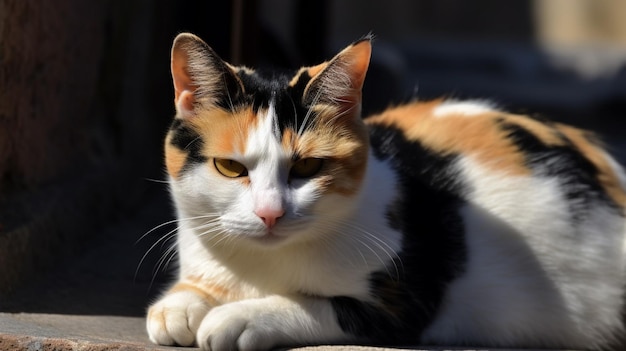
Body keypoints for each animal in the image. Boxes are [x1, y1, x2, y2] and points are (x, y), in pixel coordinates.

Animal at [145, 32, 624, 350]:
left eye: (307, 166)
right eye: (230, 167)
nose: (270, 213)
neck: (259, 267)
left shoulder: (406, 299)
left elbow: (322, 305)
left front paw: (239, 316)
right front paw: (179, 306)